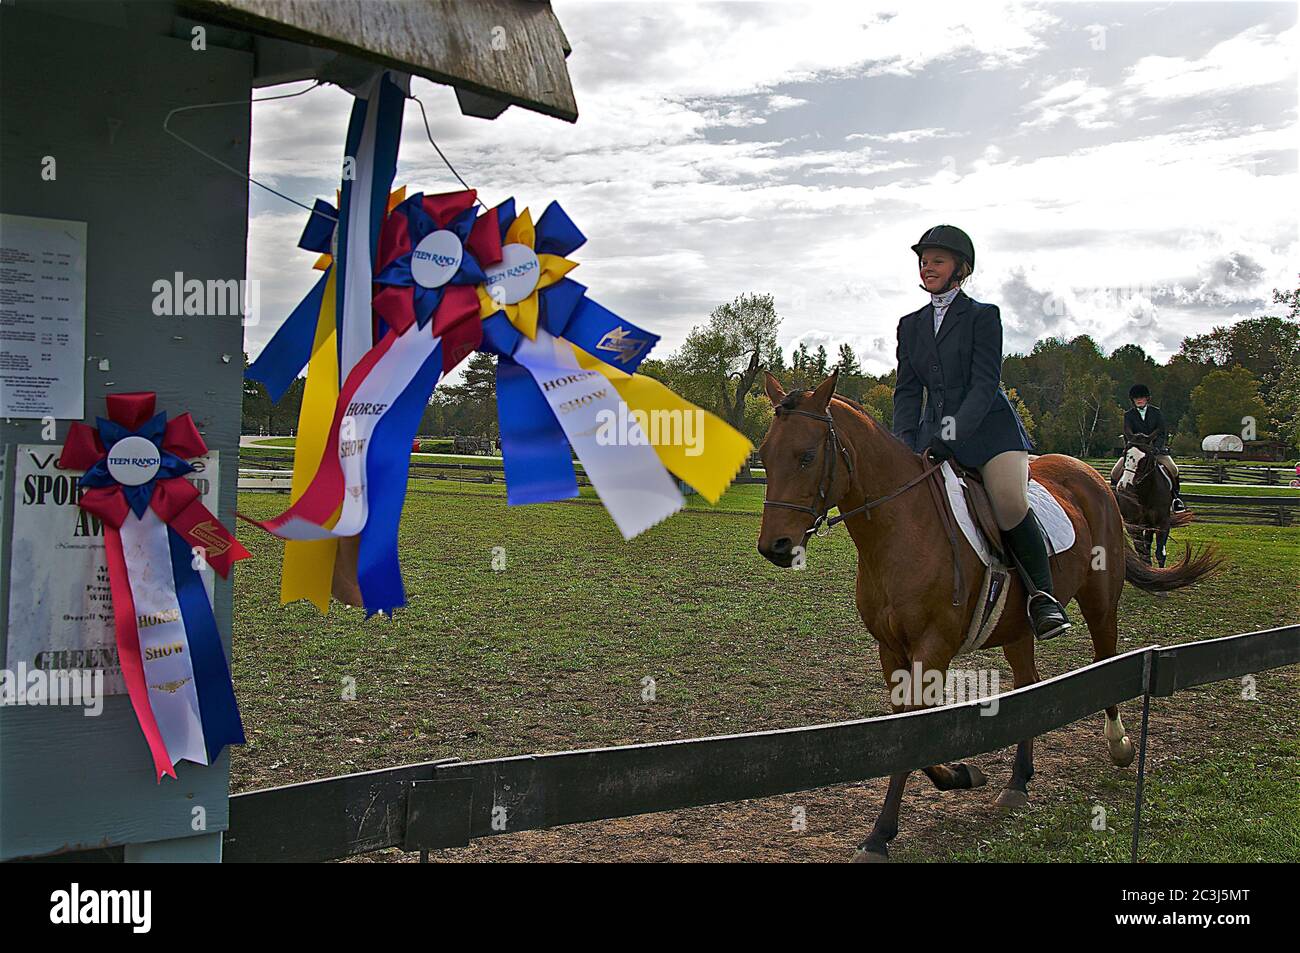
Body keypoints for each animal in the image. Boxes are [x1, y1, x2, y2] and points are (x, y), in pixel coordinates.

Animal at [1112, 434, 1190, 564]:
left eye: (1145, 459)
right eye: (1125, 453)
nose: (1124, 486)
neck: (1145, 493)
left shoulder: (1162, 523)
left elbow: (1160, 554)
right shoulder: (1133, 525)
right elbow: (1142, 554)